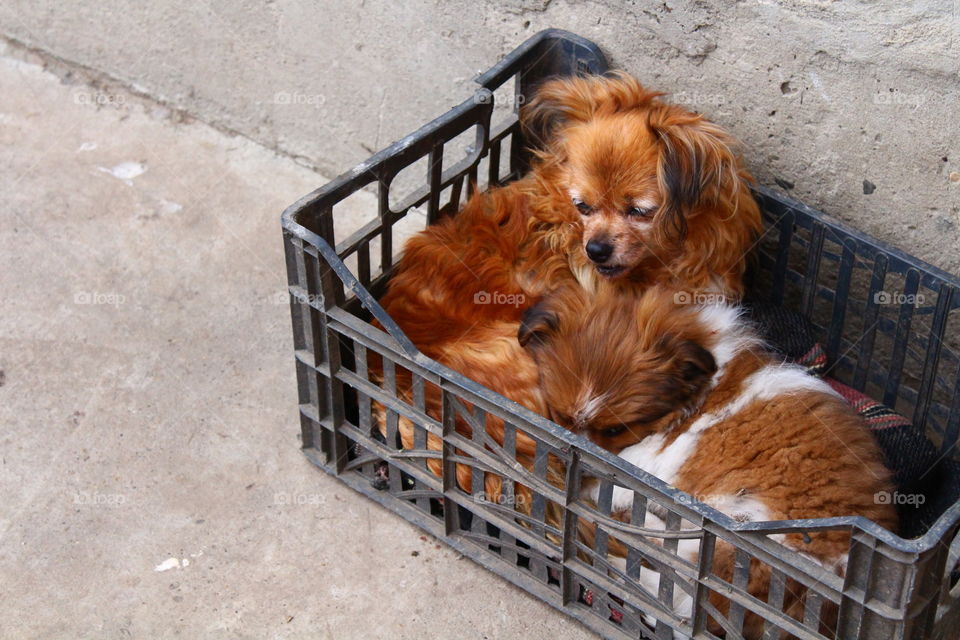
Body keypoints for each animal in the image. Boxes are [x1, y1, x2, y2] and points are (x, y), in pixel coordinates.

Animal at [520, 288, 896, 636]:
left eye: (614, 429)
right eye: (560, 416)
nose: (567, 454)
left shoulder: (652, 456)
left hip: (747, 535)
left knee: (675, 572)